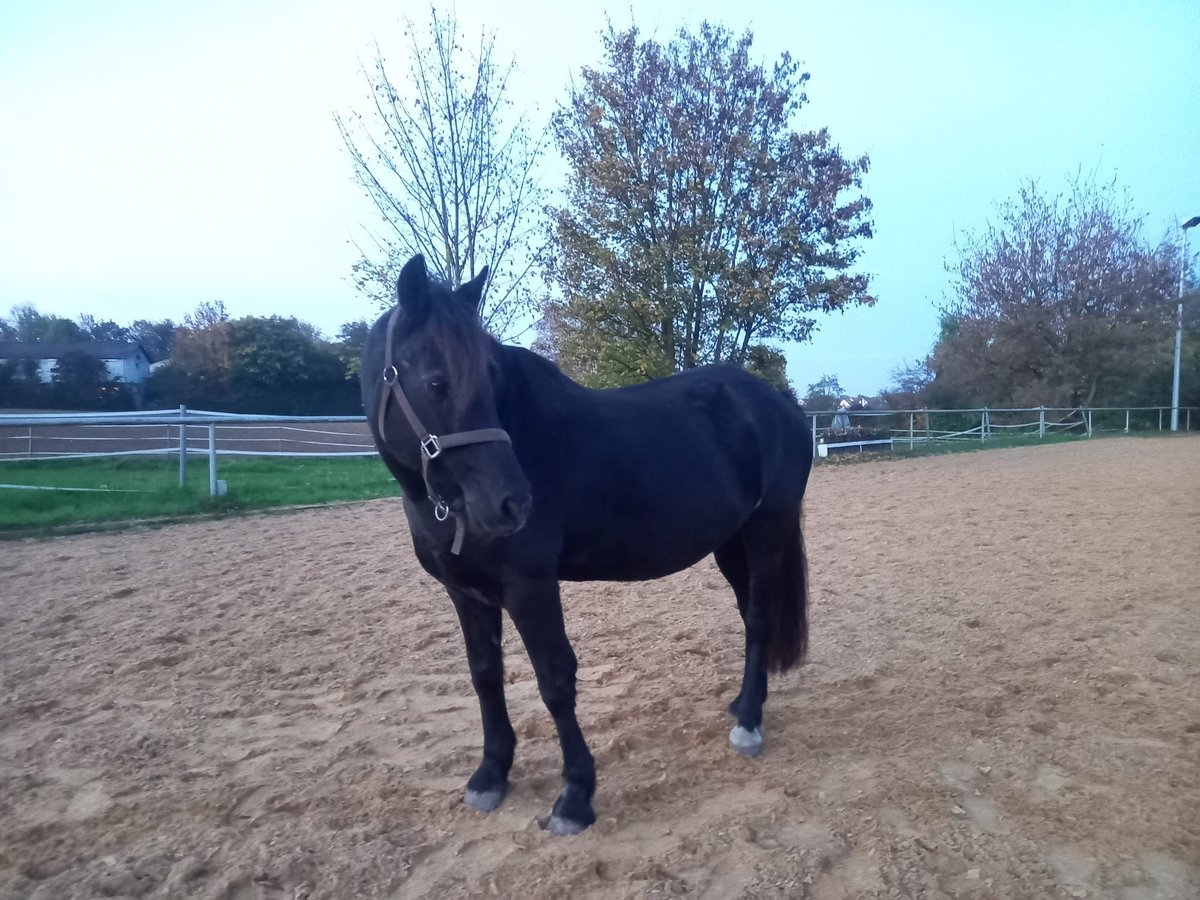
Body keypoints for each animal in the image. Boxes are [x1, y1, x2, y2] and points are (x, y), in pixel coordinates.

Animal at [362, 255, 816, 840]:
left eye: (489, 378)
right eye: (436, 382)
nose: (512, 503)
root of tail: (778, 402)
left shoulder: (530, 588)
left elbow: (555, 680)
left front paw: (575, 797)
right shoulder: (465, 594)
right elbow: (485, 675)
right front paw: (490, 775)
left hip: (766, 531)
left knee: (759, 617)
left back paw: (750, 727)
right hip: (731, 544)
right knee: (748, 616)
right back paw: (743, 704)